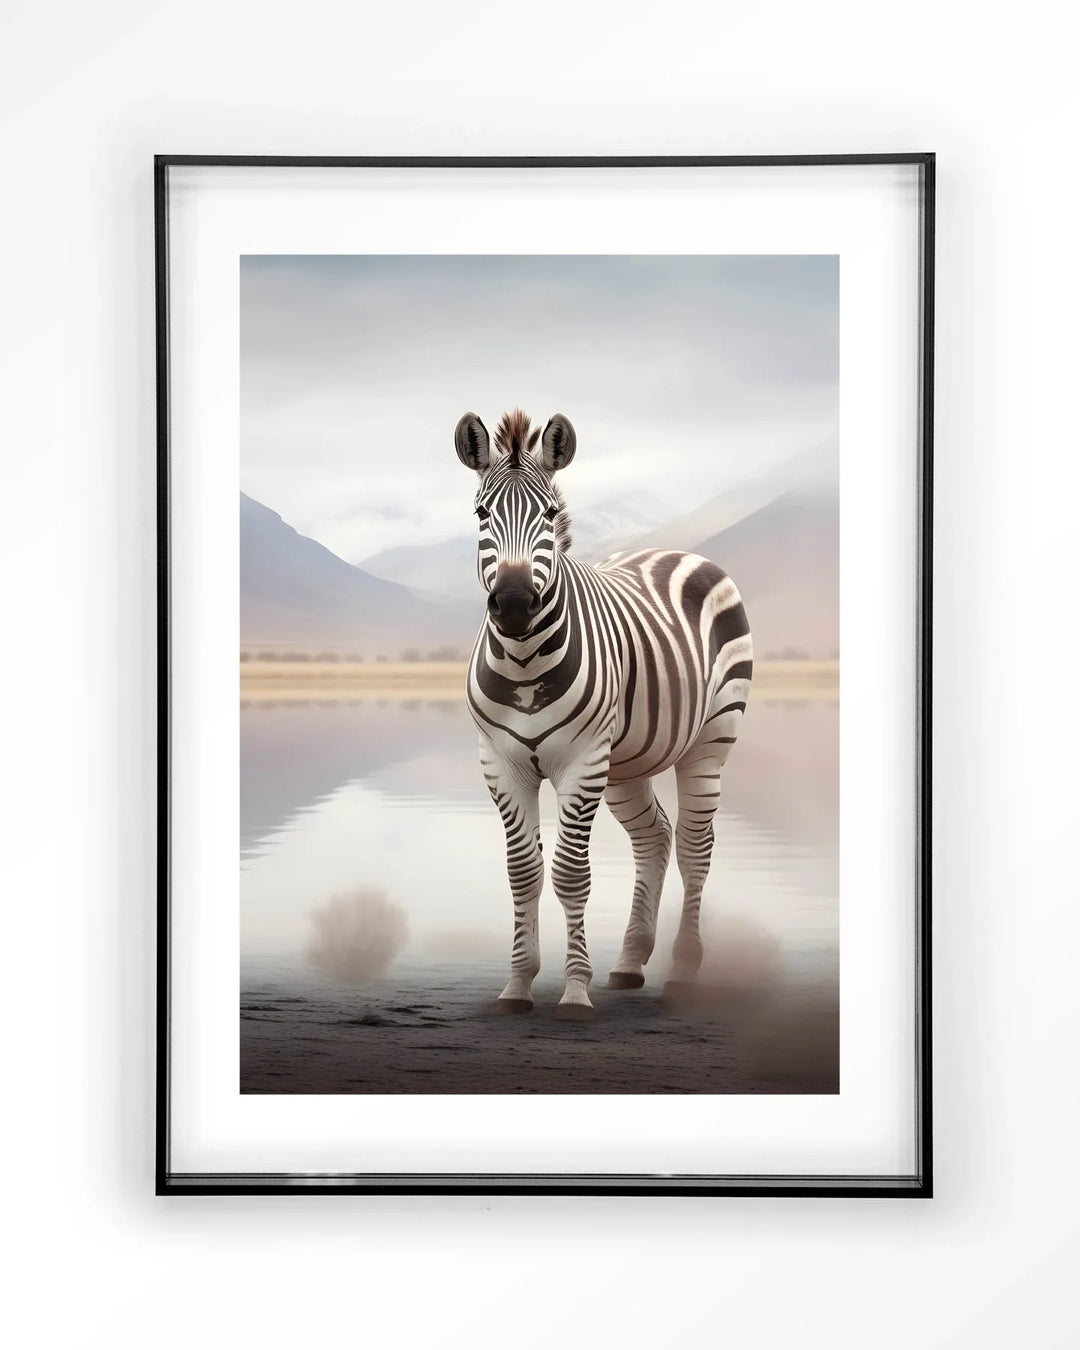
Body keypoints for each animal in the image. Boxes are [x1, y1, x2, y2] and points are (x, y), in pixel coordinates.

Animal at [456, 408, 752, 1020]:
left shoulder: (581, 761)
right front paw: (518, 985)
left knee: (695, 847)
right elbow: (523, 873)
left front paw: (574, 991)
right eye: (481, 514)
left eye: (549, 514)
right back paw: (630, 962)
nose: (514, 604)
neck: (523, 661)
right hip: (626, 764)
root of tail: (677, 550)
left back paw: (682, 971)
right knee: (655, 837)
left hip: (710, 741)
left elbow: (571, 874)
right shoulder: (501, 763)